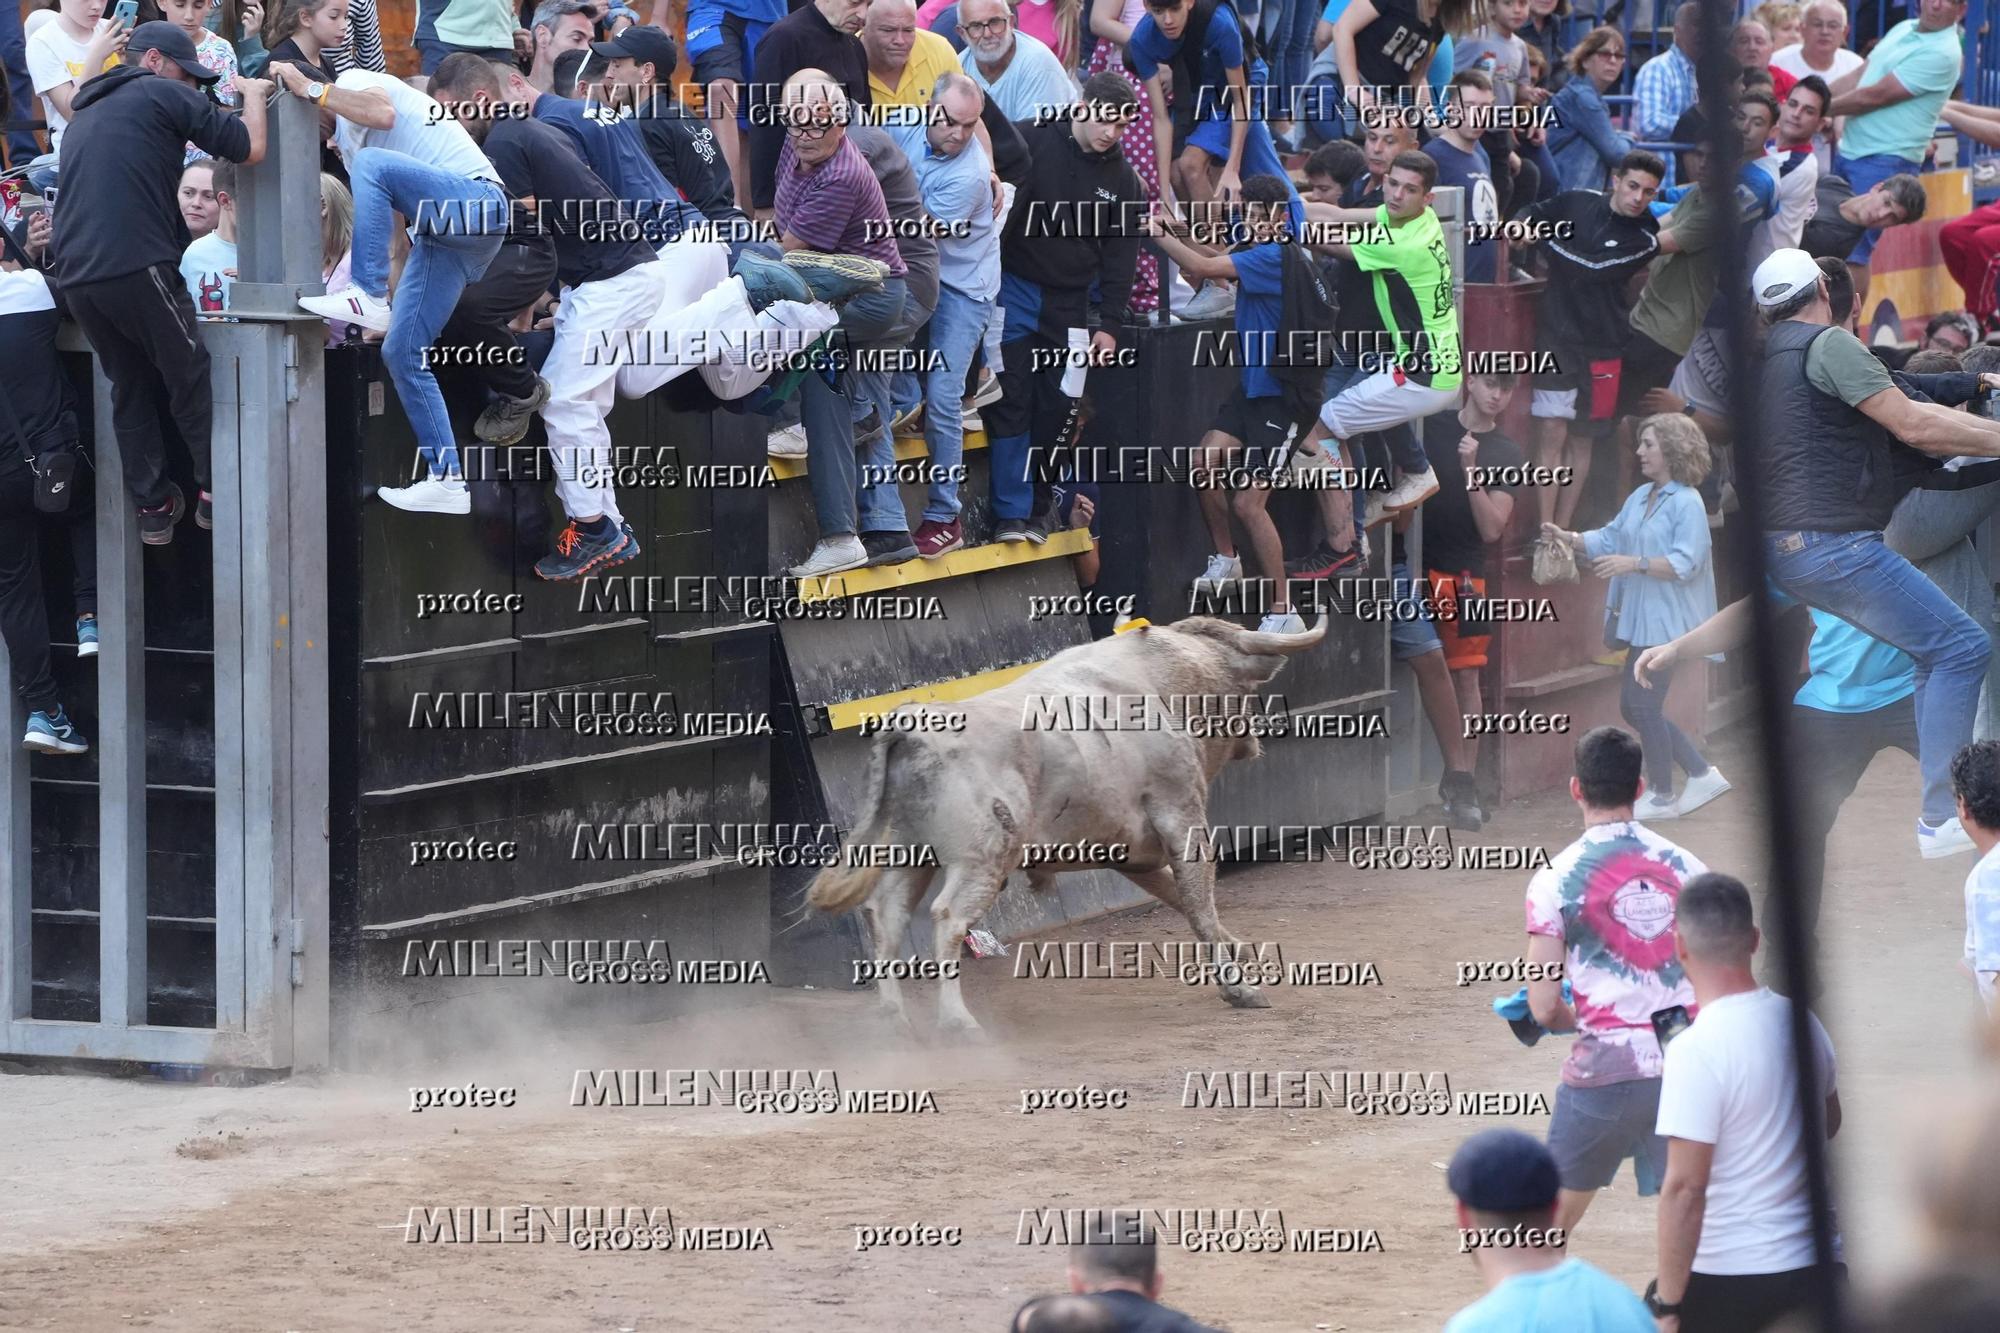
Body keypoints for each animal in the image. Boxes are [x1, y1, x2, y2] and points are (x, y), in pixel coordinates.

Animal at [796, 608, 1328, 1024]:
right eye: (1245, 687)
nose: (1253, 742)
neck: (1165, 678)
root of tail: (911, 729)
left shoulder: (1128, 851)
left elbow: (1180, 898)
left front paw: (1238, 952)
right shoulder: (1181, 814)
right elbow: (1197, 901)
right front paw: (1239, 987)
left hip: (911, 854)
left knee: (885, 917)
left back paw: (895, 1019)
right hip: (982, 857)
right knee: (947, 919)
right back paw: (958, 1023)